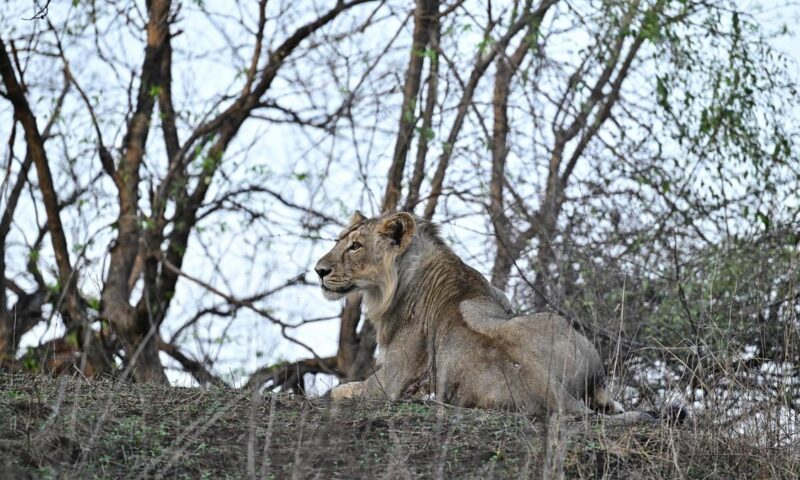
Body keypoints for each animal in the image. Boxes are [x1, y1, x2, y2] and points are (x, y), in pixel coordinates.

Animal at [315, 211, 654, 422]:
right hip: (560, 328)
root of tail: (548, 387)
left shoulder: (392, 381)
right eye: (339, 241)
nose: (319, 270)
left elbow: (342, 390)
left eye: (355, 246)